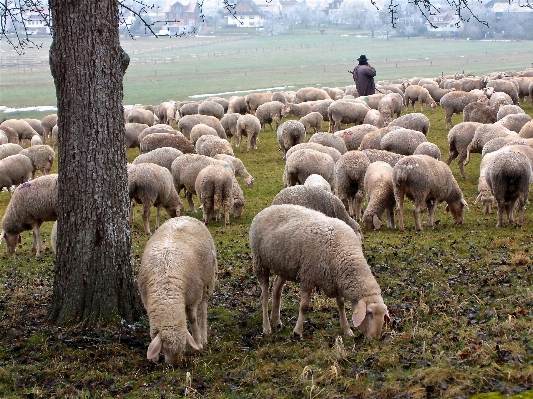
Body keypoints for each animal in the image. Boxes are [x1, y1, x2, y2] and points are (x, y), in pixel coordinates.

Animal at [137, 217, 216, 368]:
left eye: (182, 347)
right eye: (164, 348)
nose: (172, 365)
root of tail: (184, 216)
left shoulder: (192, 298)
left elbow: (192, 320)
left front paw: (198, 343)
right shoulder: (147, 302)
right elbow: (152, 331)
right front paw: (153, 358)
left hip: (207, 282)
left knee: (203, 310)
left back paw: (203, 336)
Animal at [247, 205, 388, 340]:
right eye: (370, 313)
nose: (375, 338)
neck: (343, 253)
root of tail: (265, 210)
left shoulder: (335, 280)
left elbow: (341, 305)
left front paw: (347, 330)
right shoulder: (307, 278)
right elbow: (304, 307)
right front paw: (297, 332)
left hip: (284, 266)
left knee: (276, 289)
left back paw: (276, 321)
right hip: (260, 263)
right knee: (264, 296)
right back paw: (267, 327)